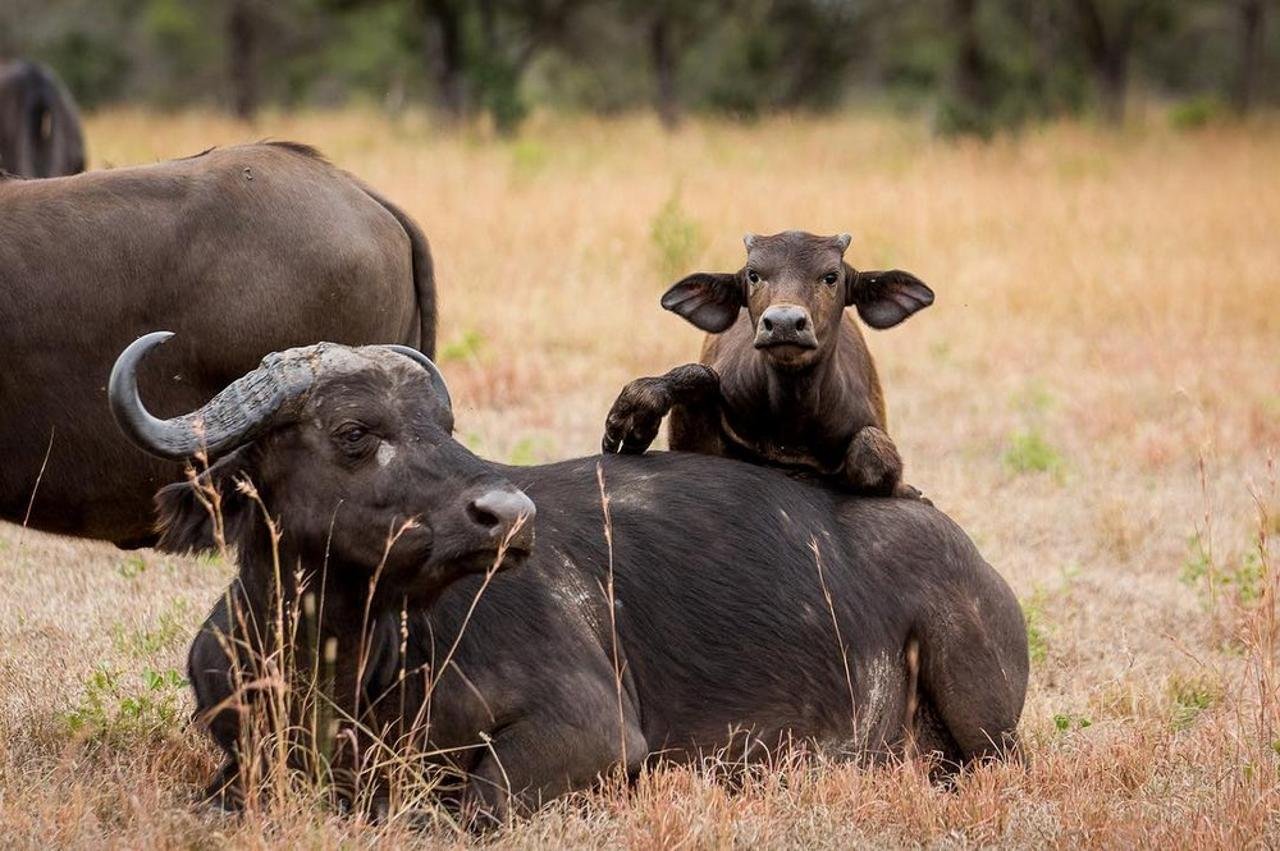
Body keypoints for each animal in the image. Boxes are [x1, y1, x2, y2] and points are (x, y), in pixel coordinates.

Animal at [112, 330, 1029, 819]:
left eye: (444, 424)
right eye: (354, 430)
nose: (508, 513)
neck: (342, 664)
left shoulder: (590, 732)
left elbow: (465, 809)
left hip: (981, 713)